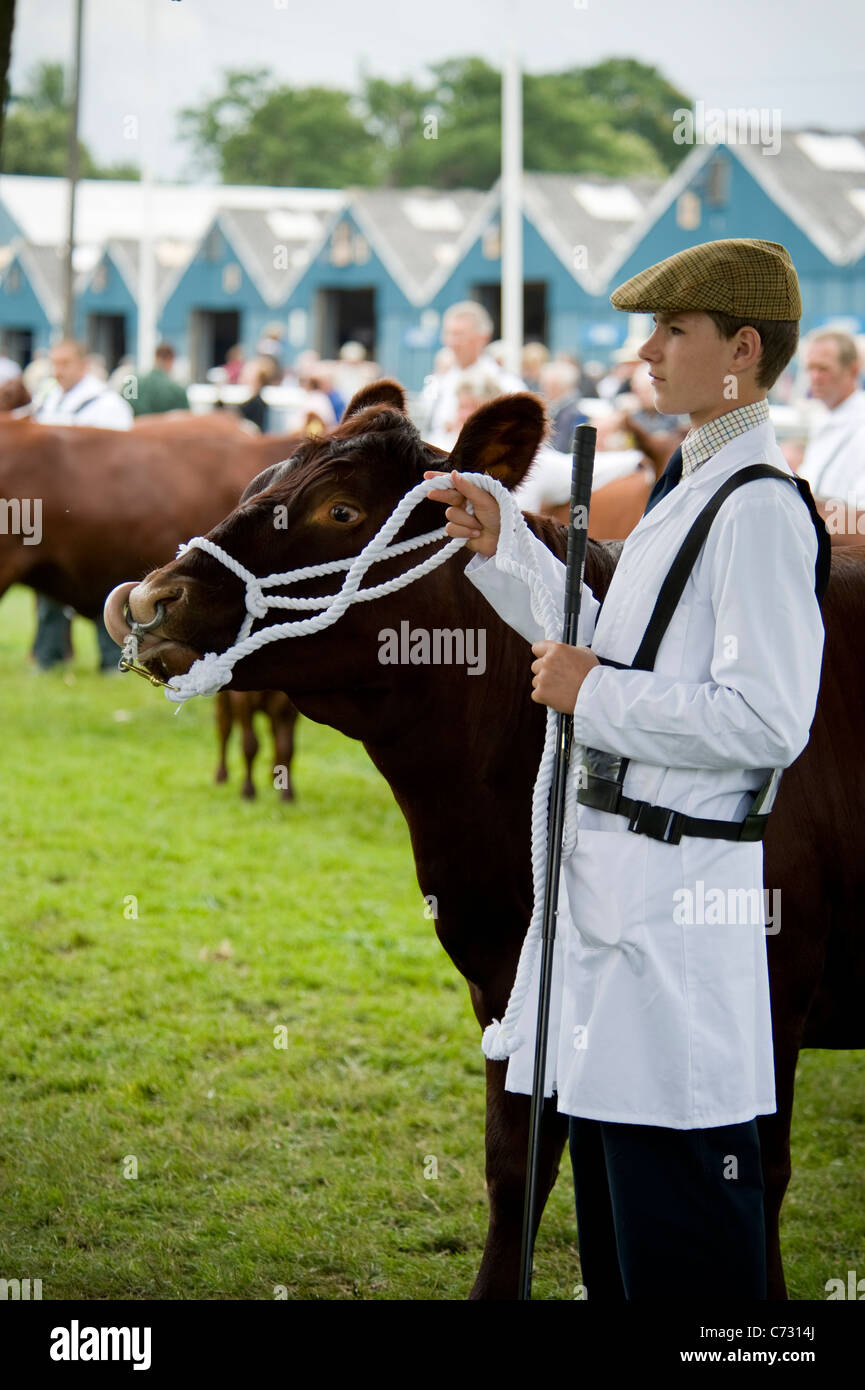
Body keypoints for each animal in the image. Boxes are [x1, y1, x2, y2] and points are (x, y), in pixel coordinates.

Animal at [104, 383, 862, 1301]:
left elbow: (757, 1176)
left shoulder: (772, 999)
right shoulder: (502, 981)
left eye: (340, 509)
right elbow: (515, 1165)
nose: (150, 601)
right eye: (256, 480)